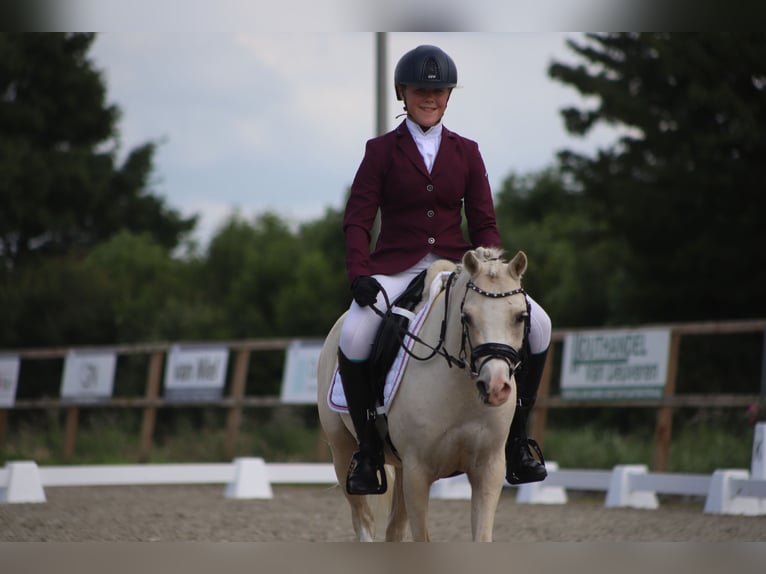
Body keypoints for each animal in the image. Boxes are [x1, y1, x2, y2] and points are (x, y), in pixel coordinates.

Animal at [318, 249, 536, 544]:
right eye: (466, 317)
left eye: (520, 316)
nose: (495, 386)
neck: (461, 391)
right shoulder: (417, 473)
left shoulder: (488, 469)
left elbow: (481, 535)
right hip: (342, 452)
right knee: (364, 521)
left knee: (394, 529)